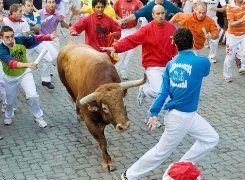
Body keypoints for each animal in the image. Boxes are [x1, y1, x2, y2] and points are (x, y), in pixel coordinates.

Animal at [57, 41, 145, 171]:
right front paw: (107, 161)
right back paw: (78, 115)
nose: (124, 126)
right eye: (105, 107)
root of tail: (71, 43)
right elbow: (102, 141)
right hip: (67, 85)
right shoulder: (90, 121)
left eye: (122, 101)